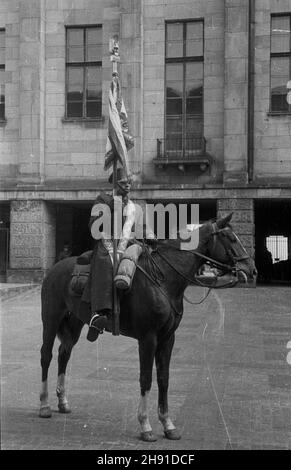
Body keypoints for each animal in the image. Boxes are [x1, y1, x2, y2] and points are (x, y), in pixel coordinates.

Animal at [39, 215, 258, 442]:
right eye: (231, 238)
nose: (252, 269)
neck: (165, 279)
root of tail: (55, 268)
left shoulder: (168, 338)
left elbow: (164, 378)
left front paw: (168, 424)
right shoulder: (148, 338)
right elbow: (146, 378)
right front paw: (145, 425)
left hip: (75, 323)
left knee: (64, 355)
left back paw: (62, 402)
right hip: (51, 318)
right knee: (46, 355)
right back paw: (44, 405)